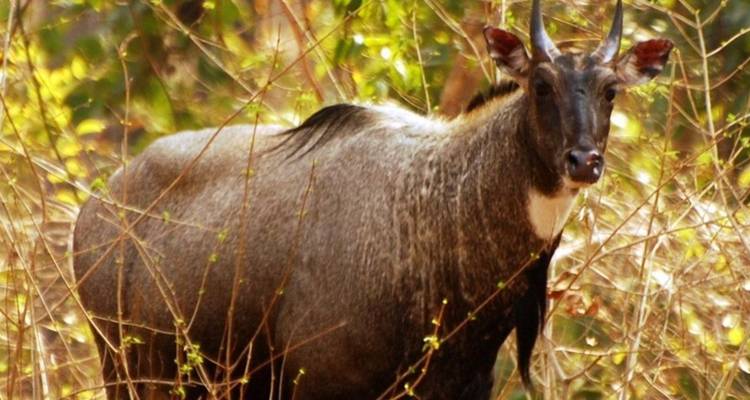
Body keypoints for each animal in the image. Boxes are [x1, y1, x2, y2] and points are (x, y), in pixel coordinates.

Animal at [73, 0, 673, 398]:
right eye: (541, 85)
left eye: (611, 91)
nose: (583, 161)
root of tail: (98, 203)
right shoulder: (319, 383)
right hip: (126, 370)